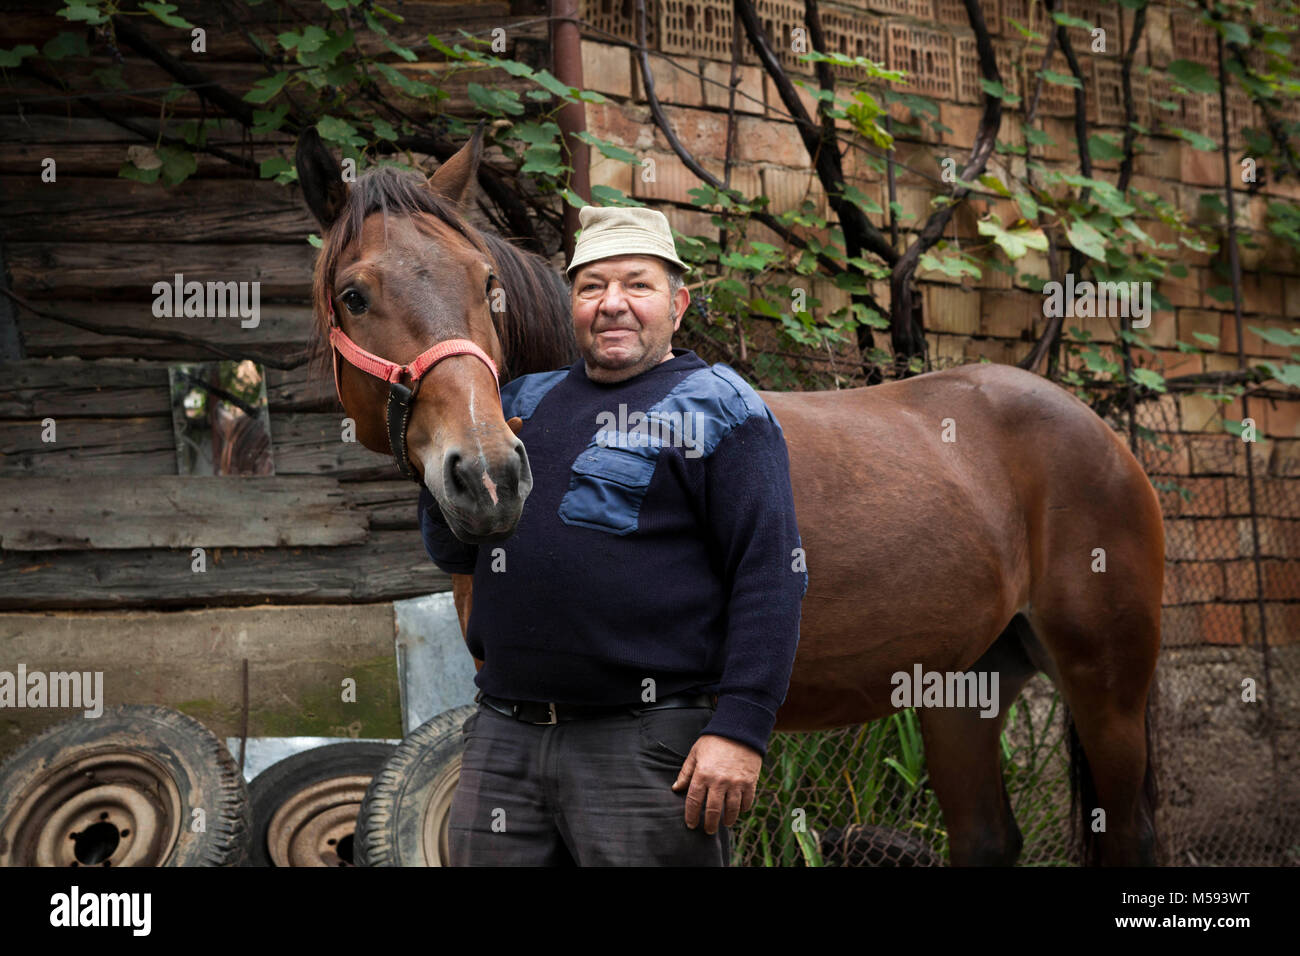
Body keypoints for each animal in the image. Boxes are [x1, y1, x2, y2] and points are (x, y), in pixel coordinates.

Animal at [297, 127, 1170, 868]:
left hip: (1108, 692)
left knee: (1126, 835)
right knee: (987, 837)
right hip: (964, 690)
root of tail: (1100, 436)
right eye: (354, 296)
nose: (487, 474)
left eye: (486, 285)